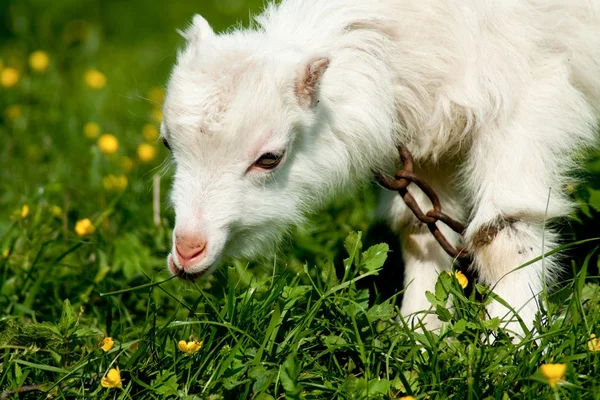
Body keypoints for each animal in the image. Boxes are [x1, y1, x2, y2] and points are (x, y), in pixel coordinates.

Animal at [159, 0, 600, 338]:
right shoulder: (429, 129)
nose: (188, 250)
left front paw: (510, 343)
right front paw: (419, 334)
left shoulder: (526, 98)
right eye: (166, 142)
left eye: (270, 158)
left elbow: (505, 230)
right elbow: (423, 226)